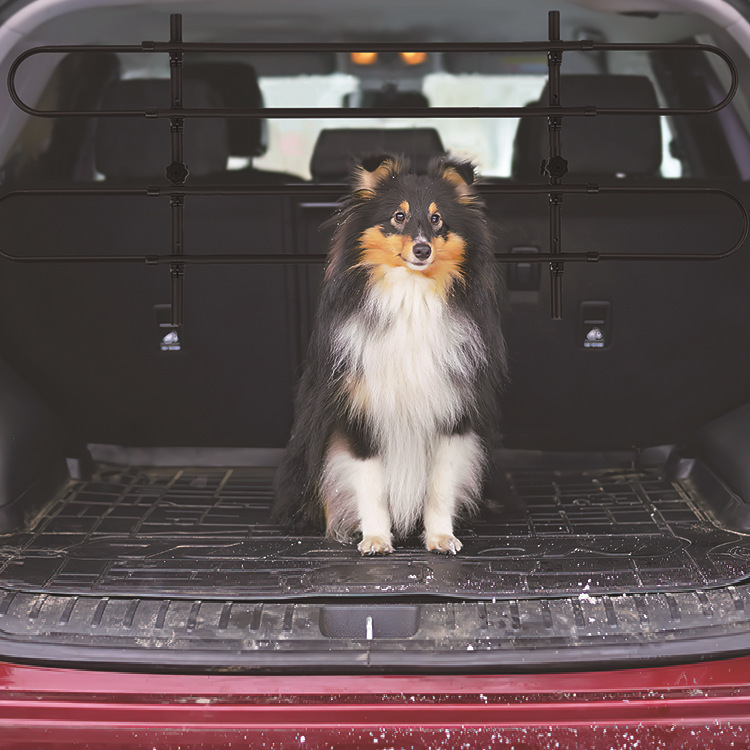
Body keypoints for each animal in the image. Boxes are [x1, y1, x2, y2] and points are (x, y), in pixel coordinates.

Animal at [274, 154, 508, 552]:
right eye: (398, 216)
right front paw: (375, 539)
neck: (411, 296)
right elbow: (371, 485)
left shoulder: (451, 415)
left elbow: (440, 486)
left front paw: (441, 537)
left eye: (436, 219)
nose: (422, 249)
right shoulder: (360, 414)